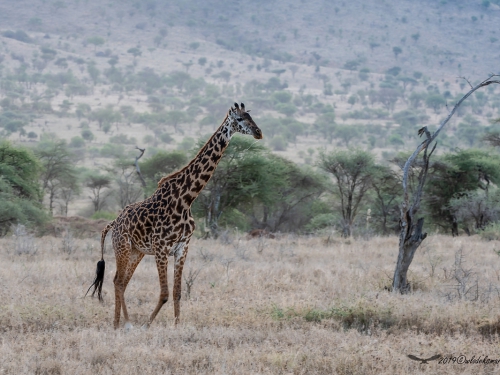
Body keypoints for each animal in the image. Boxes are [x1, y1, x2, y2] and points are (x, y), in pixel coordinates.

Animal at [87, 103, 264, 328]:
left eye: (251, 116)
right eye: (240, 119)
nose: (259, 132)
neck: (186, 199)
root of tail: (112, 223)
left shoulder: (182, 248)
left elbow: (177, 293)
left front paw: (177, 325)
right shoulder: (162, 248)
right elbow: (164, 293)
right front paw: (147, 324)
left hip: (137, 251)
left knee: (122, 282)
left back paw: (123, 322)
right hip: (122, 247)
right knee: (118, 281)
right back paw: (121, 323)